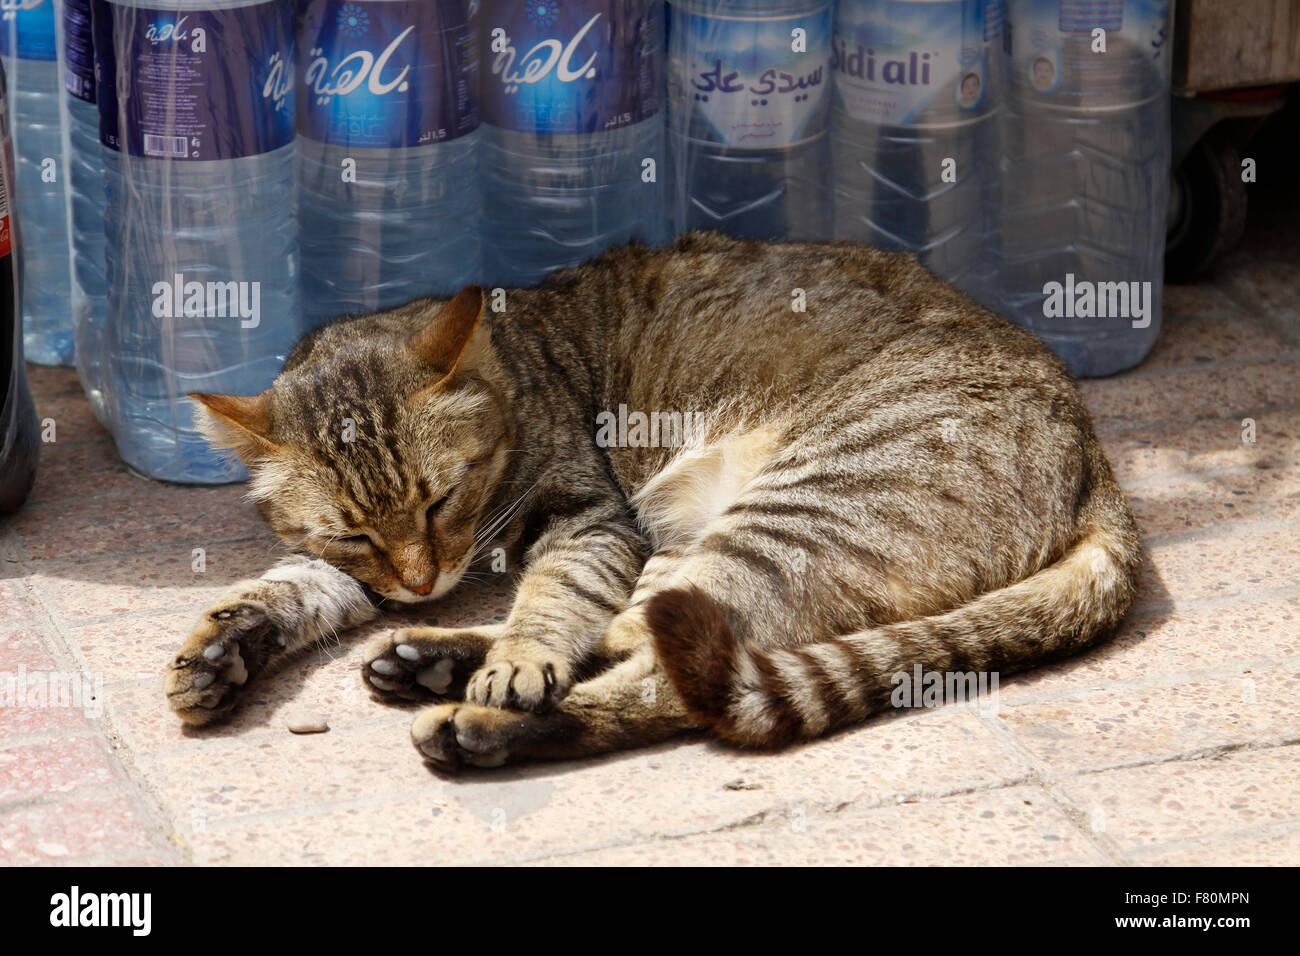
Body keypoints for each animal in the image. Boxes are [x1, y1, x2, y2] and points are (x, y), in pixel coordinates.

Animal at [162, 231, 1138, 770]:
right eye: (356, 533)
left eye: (441, 502)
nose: (418, 583)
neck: (519, 369)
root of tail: (1099, 461)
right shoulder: (361, 563)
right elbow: (291, 586)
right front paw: (225, 648)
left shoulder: (587, 513)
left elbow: (555, 597)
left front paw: (519, 655)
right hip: (703, 548)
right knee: (642, 635)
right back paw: (435, 658)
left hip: (791, 516)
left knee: (662, 672)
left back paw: (485, 714)